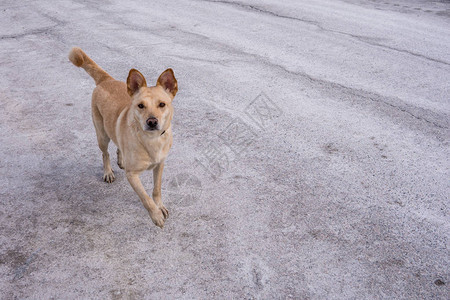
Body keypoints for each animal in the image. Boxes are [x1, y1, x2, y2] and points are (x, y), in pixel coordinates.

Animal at [68, 48, 178, 229]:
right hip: (102, 135)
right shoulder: (132, 176)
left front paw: (160, 206)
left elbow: (156, 189)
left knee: (118, 143)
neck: (151, 139)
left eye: (162, 104)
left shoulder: (160, 165)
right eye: (140, 106)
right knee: (105, 153)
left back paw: (121, 159)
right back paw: (108, 172)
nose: (152, 122)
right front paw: (155, 215)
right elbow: (145, 198)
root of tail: (107, 79)